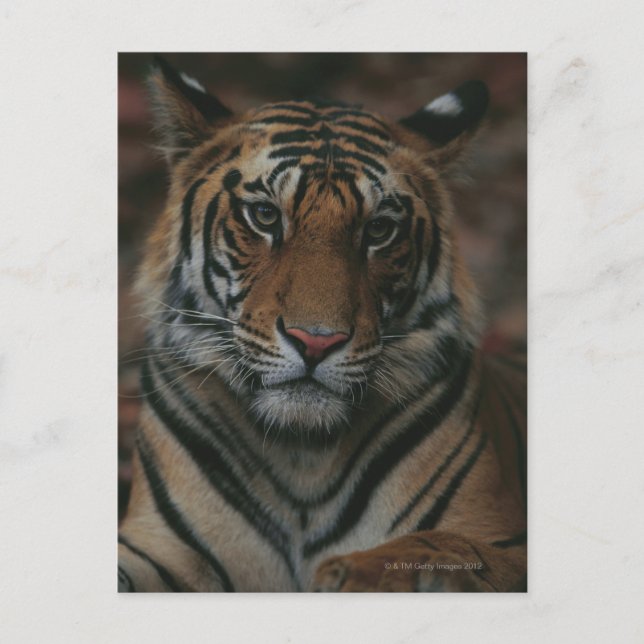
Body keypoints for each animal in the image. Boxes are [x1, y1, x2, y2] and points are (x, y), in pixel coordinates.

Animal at [117, 55, 527, 593]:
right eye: (265, 216)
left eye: (379, 229)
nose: (316, 342)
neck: (301, 456)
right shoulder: (159, 548)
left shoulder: (500, 536)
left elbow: (443, 546)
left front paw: (356, 572)